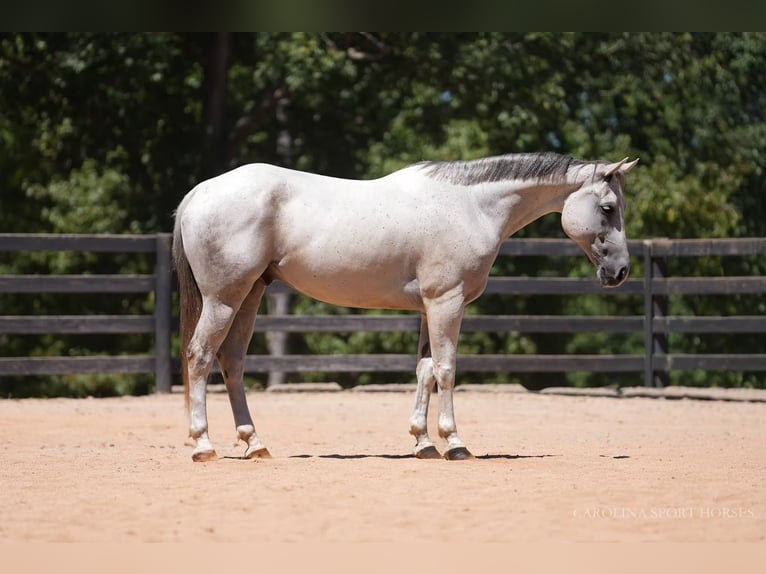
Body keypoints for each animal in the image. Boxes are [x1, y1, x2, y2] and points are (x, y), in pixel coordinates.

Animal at [173, 151, 638, 462]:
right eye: (608, 208)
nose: (620, 271)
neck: (471, 206)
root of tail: (199, 192)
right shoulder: (447, 302)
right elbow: (447, 370)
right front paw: (455, 443)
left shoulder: (428, 307)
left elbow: (425, 370)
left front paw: (423, 442)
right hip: (224, 299)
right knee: (200, 357)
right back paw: (203, 445)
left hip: (249, 295)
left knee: (232, 363)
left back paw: (255, 444)